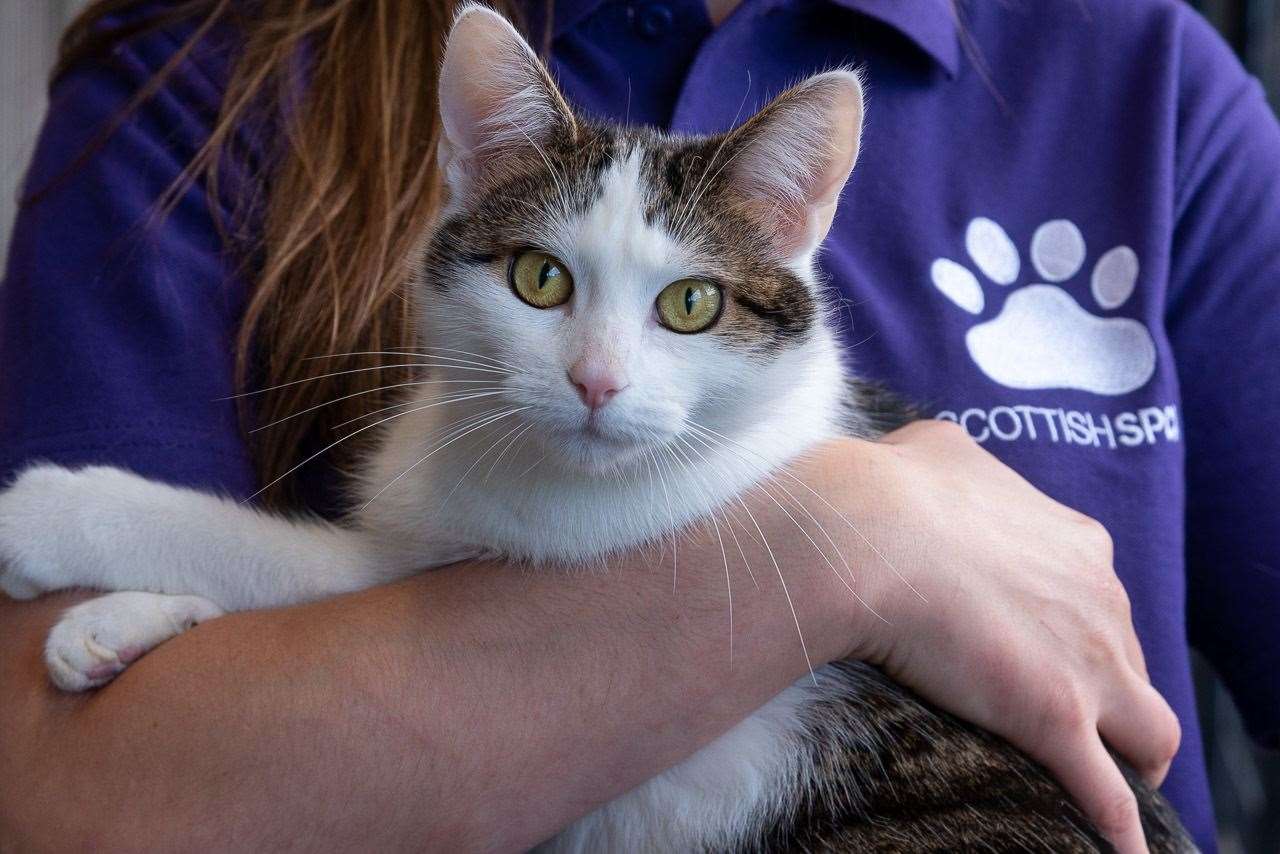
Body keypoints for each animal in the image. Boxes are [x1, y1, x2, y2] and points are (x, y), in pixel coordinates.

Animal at [0, 6, 1192, 854]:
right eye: (540, 278)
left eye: (693, 303)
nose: (596, 381)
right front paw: (107, 630)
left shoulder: (569, 552)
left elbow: (295, 559)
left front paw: (58, 516)